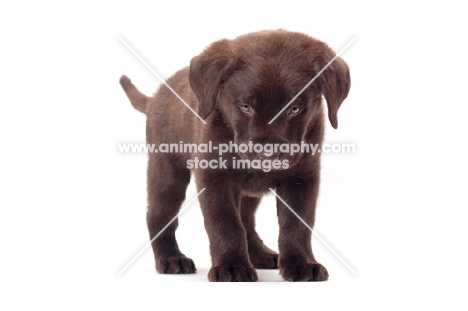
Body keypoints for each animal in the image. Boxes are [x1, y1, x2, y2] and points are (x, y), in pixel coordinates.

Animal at [119, 29, 350, 282]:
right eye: (246, 107)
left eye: (295, 109)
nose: (267, 154)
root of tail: (154, 97)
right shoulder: (214, 176)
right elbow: (225, 223)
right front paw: (231, 266)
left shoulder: (302, 176)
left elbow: (297, 224)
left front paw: (301, 263)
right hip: (167, 172)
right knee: (159, 216)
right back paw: (172, 259)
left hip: (248, 192)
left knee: (247, 220)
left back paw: (260, 255)